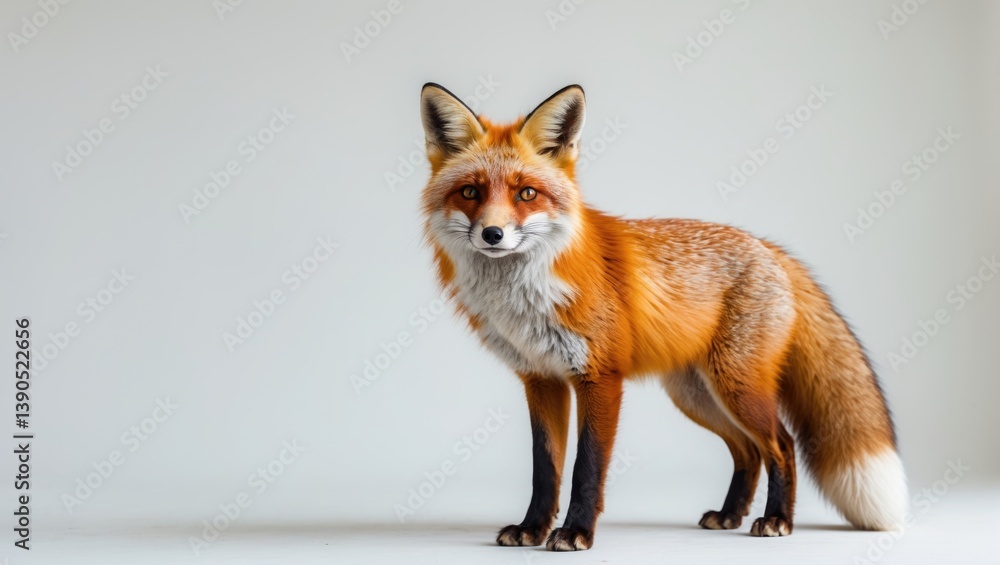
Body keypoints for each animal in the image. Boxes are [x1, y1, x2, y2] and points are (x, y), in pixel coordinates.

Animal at [418, 83, 907, 551]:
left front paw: (576, 533)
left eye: (526, 193)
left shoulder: (600, 377)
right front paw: (533, 528)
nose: (492, 234)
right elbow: (545, 469)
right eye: (470, 192)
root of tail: (771, 249)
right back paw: (729, 516)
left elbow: (585, 467)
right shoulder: (541, 379)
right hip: (697, 396)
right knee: (748, 452)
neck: (527, 297)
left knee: (781, 445)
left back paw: (777, 521)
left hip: (737, 388)